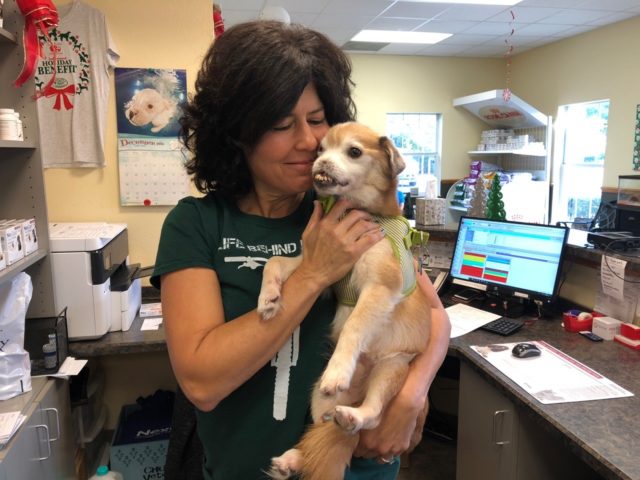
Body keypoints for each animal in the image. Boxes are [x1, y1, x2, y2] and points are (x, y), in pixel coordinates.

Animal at [256, 123, 430, 480]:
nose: (320, 164)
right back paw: (293, 459)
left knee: (372, 415)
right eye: (320, 150)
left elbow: (354, 327)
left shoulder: (379, 288)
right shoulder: (320, 270)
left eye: (354, 152)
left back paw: (353, 415)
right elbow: (275, 263)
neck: (357, 212)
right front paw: (268, 297)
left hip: (392, 369)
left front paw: (338, 369)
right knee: (321, 429)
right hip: (316, 395)